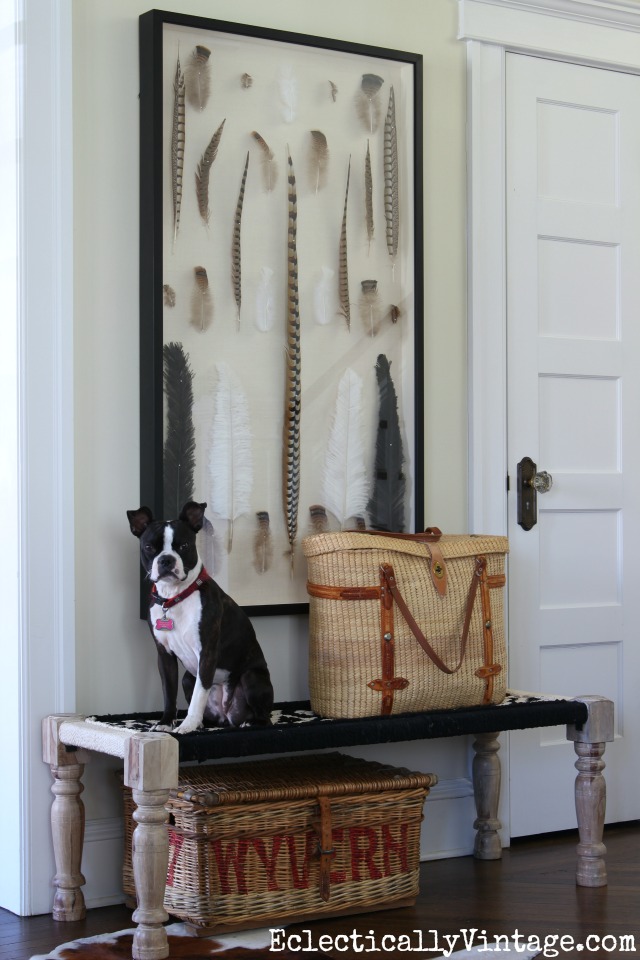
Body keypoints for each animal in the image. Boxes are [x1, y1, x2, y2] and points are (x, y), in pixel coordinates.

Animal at [127, 498, 272, 732]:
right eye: (149, 547)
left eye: (184, 546)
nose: (166, 560)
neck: (175, 597)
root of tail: (227, 715)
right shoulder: (164, 656)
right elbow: (169, 693)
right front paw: (166, 722)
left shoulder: (207, 654)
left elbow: (198, 695)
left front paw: (187, 725)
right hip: (187, 678)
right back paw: (205, 723)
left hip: (252, 677)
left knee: (264, 716)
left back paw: (249, 722)